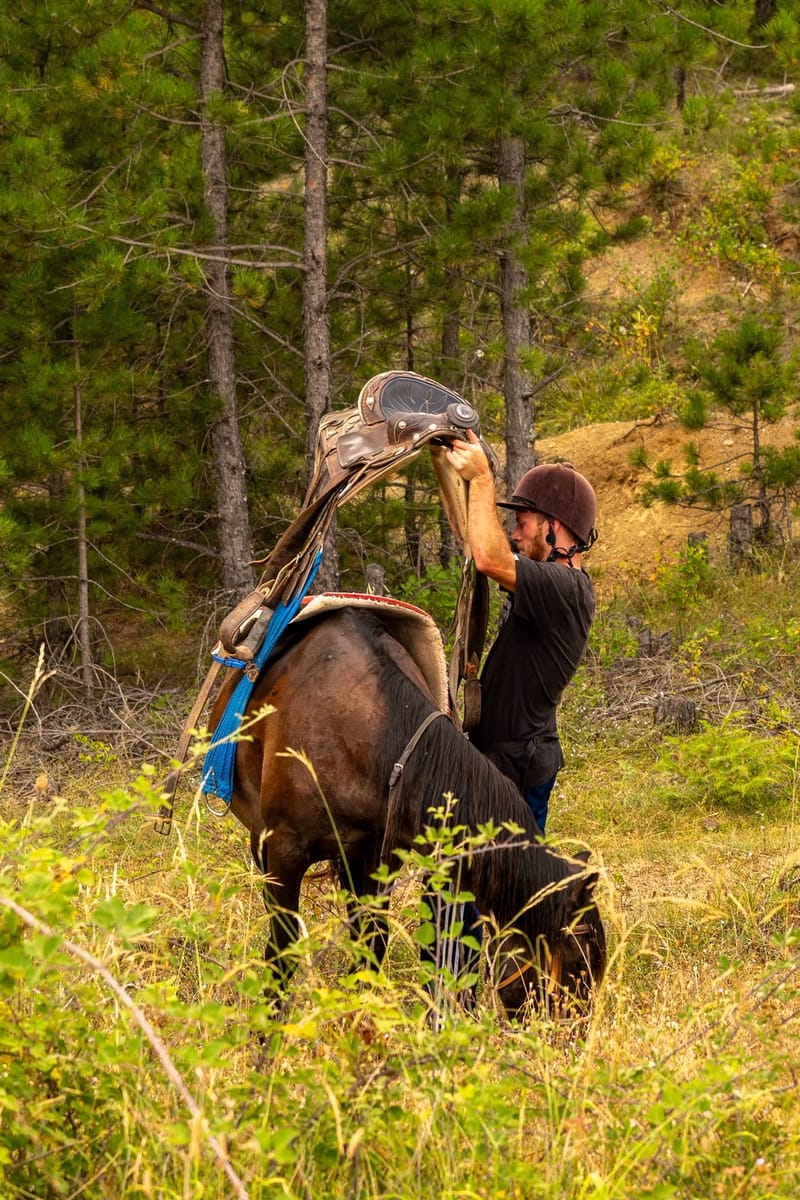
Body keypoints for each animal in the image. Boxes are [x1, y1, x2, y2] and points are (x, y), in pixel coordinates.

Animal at [207, 605, 606, 1020]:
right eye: (578, 964)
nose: (577, 1031)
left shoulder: (378, 859)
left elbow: (372, 945)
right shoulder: (284, 852)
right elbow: (282, 953)